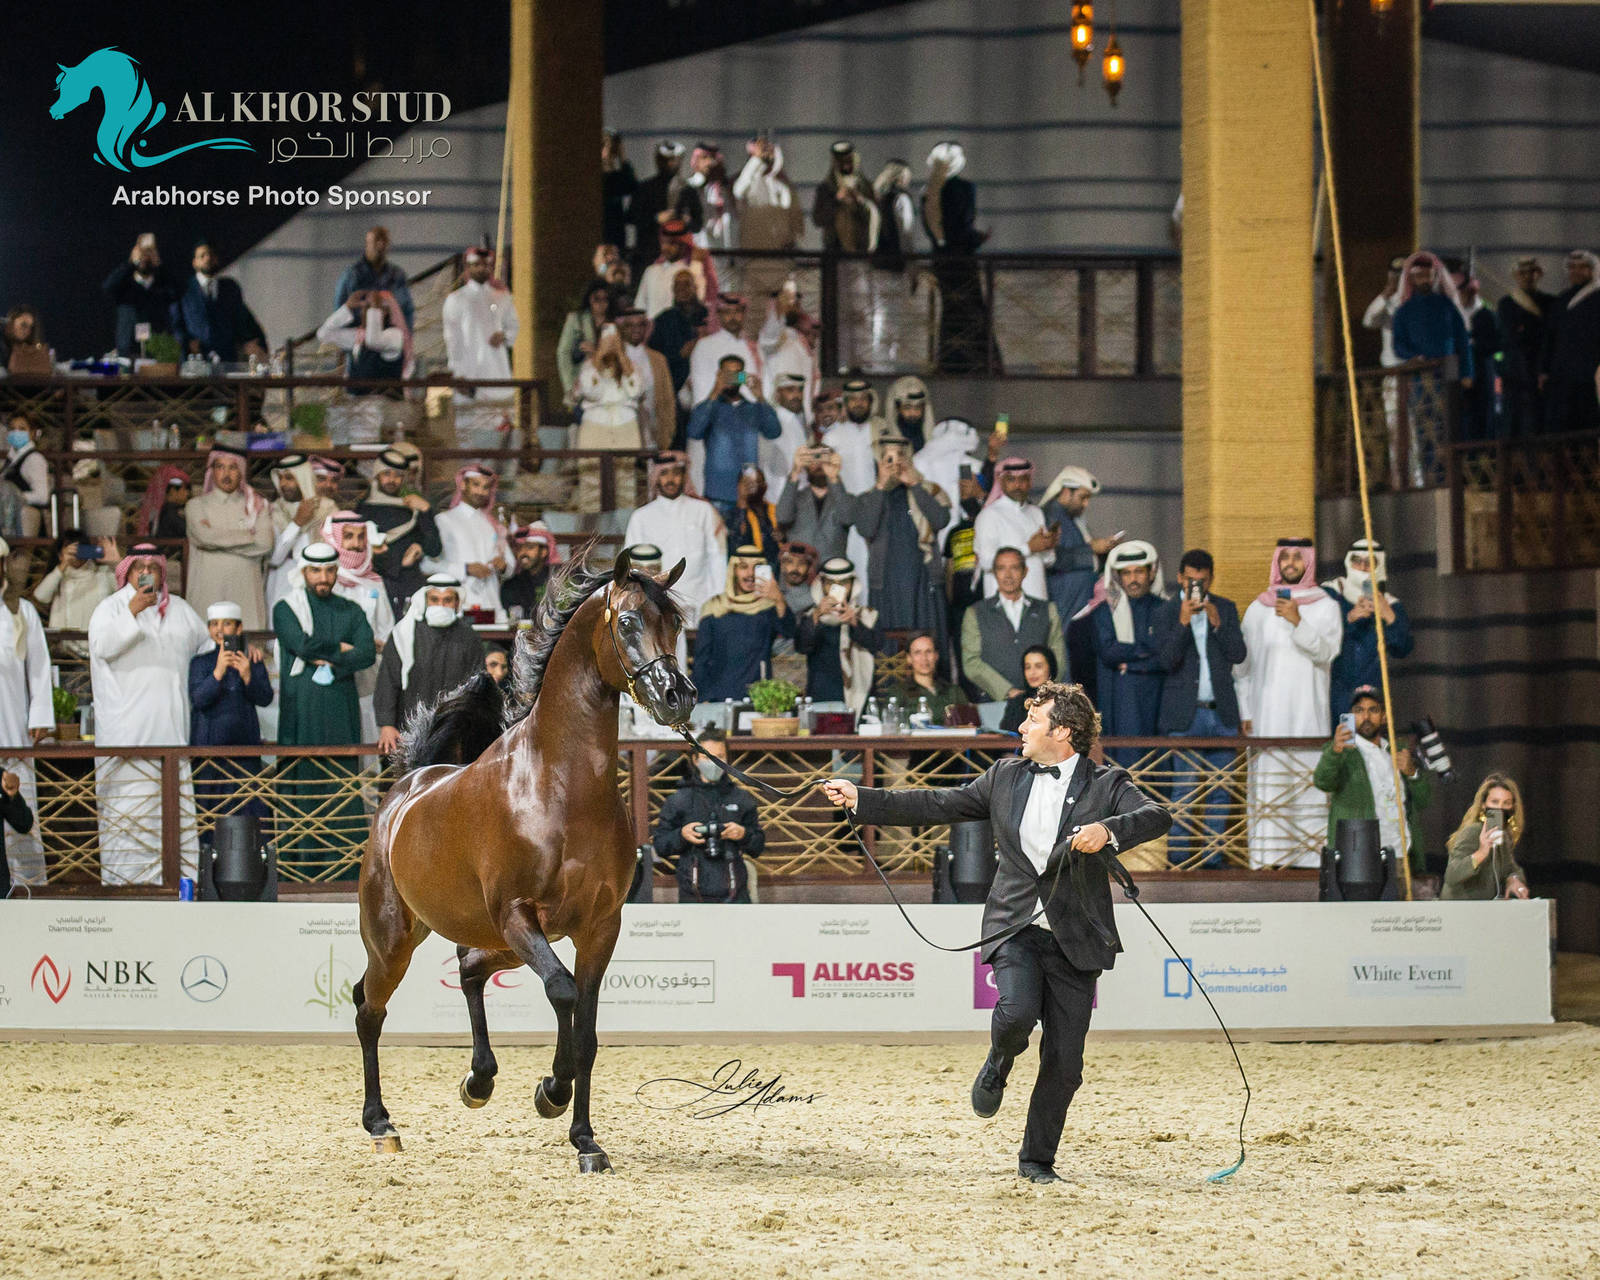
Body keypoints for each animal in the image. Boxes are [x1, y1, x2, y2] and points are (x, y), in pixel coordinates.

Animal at [355, 547, 696, 1172]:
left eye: (676, 625)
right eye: (628, 621)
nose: (676, 697)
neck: (558, 786)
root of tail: (409, 787)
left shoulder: (598, 928)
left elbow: (586, 1033)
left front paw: (585, 1140)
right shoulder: (519, 914)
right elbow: (562, 993)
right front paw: (551, 1092)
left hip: (494, 940)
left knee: (467, 968)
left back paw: (478, 1081)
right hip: (396, 939)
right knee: (369, 1009)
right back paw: (380, 1124)